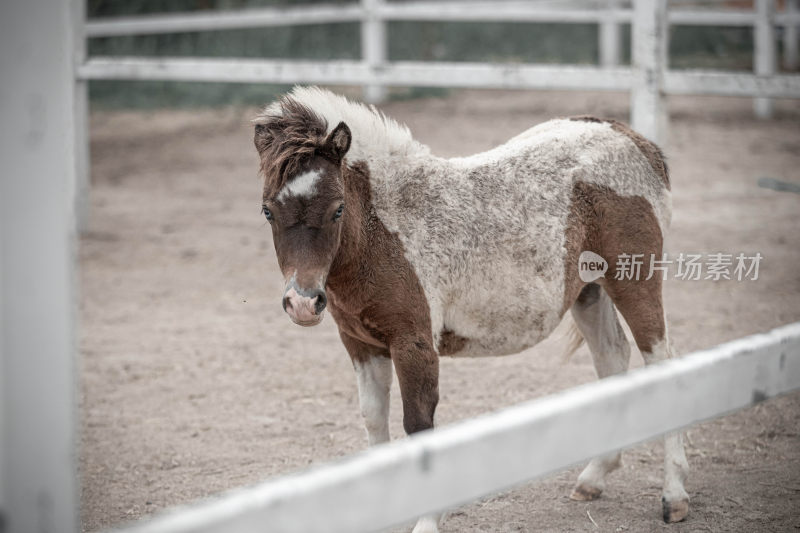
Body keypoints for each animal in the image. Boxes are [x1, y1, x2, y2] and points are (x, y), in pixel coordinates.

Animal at [255, 85, 688, 528]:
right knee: (612, 361)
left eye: (337, 208)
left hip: (635, 281)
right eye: (268, 210)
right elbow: (374, 421)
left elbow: (418, 426)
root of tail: (636, 141)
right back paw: (594, 477)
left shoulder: (414, 345)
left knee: (662, 363)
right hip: (588, 292)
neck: (384, 231)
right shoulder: (361, 344)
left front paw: (426, 522)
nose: (303, 302)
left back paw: (674, 496)